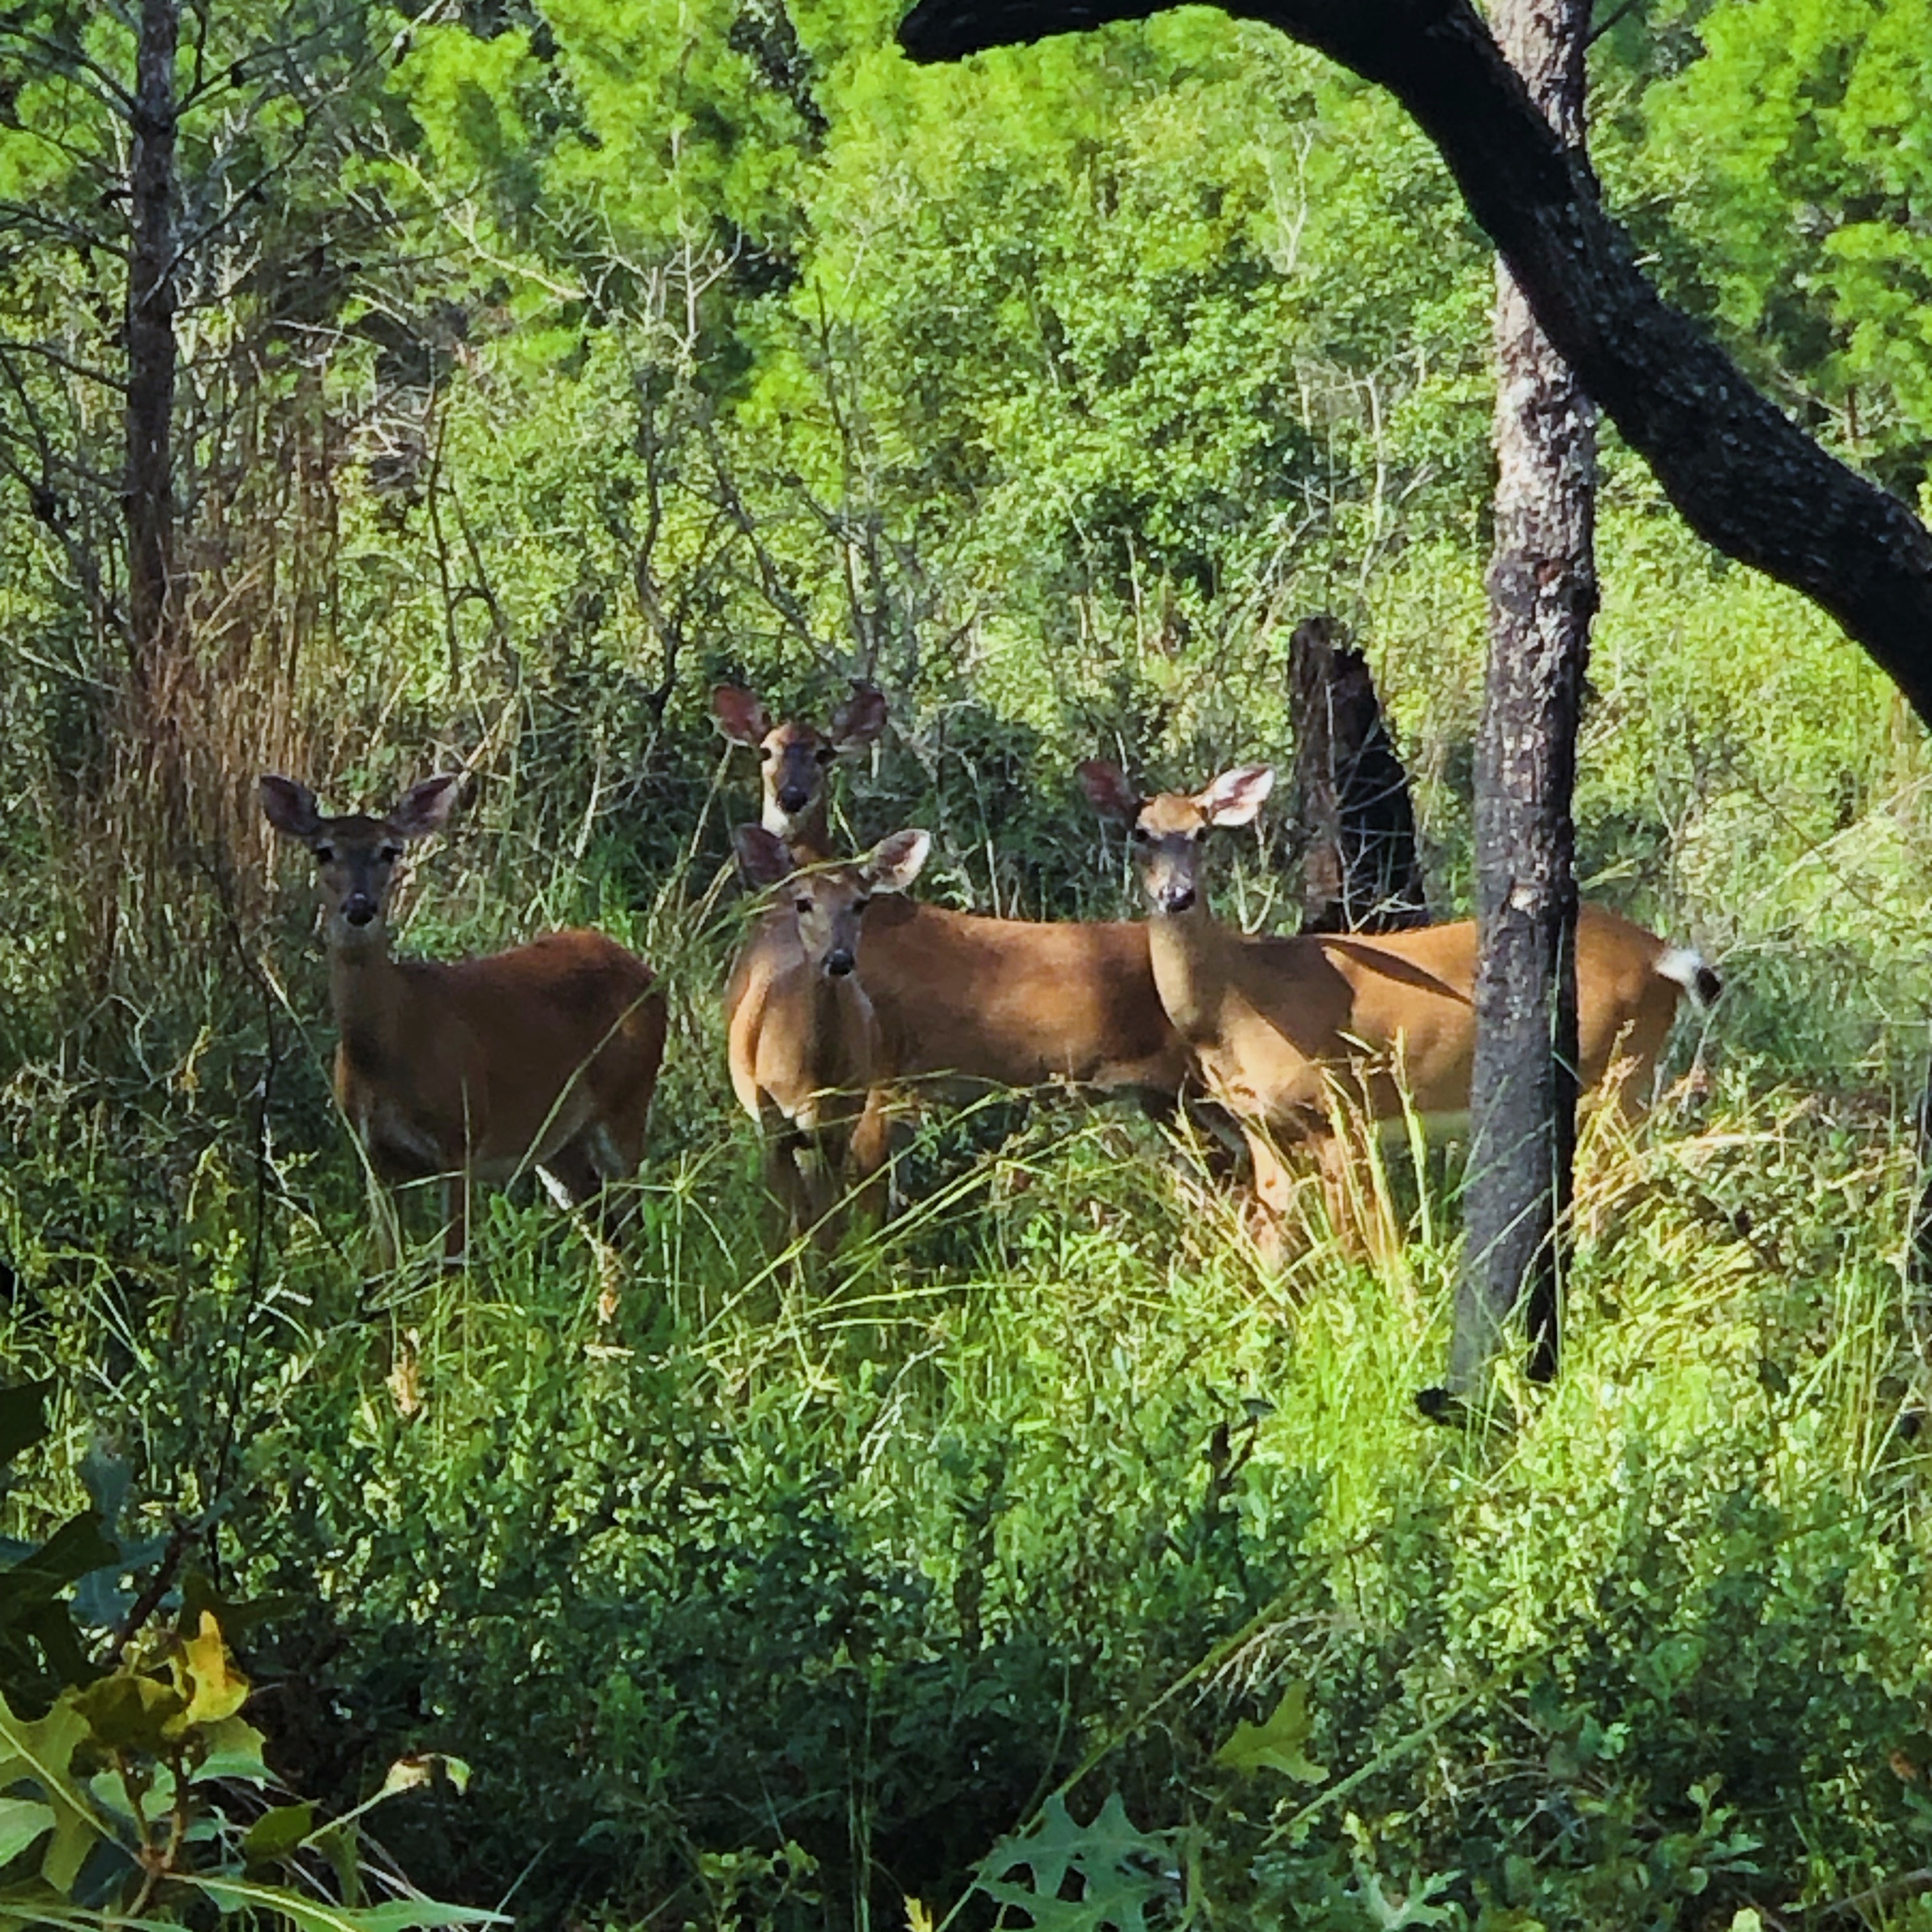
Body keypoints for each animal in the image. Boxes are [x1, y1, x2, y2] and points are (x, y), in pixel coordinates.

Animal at [260, 774, 668, 1273]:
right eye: (323, 851)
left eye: (389, 850)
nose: (360, 907)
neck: (391, 1046)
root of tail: (649, 975)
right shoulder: (374, 1157)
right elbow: (385, 1269)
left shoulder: (461, 1137)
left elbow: (452, 1264)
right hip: (558, 1143)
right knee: (611, 1239)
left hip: (628, 1100)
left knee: (636, 1228)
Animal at [728, 823, 931, 1243]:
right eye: (805, 903)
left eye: (861, 904)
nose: (839, 960)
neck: (811, 1075)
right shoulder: (771, 1118)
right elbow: (787, 1220)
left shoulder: (837, 1124)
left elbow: (827, 1226)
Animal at [1079, 759, 1719, 1249]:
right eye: (1140, 833)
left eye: (1202, 833)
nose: (1177, 895)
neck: (1235, 1009)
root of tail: (1662, 955)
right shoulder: (1261, 1125)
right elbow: (1274, 1243)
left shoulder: (1338, 1106)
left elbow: (1356, 1237)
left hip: (1614, 1071)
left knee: (1613, 1180)